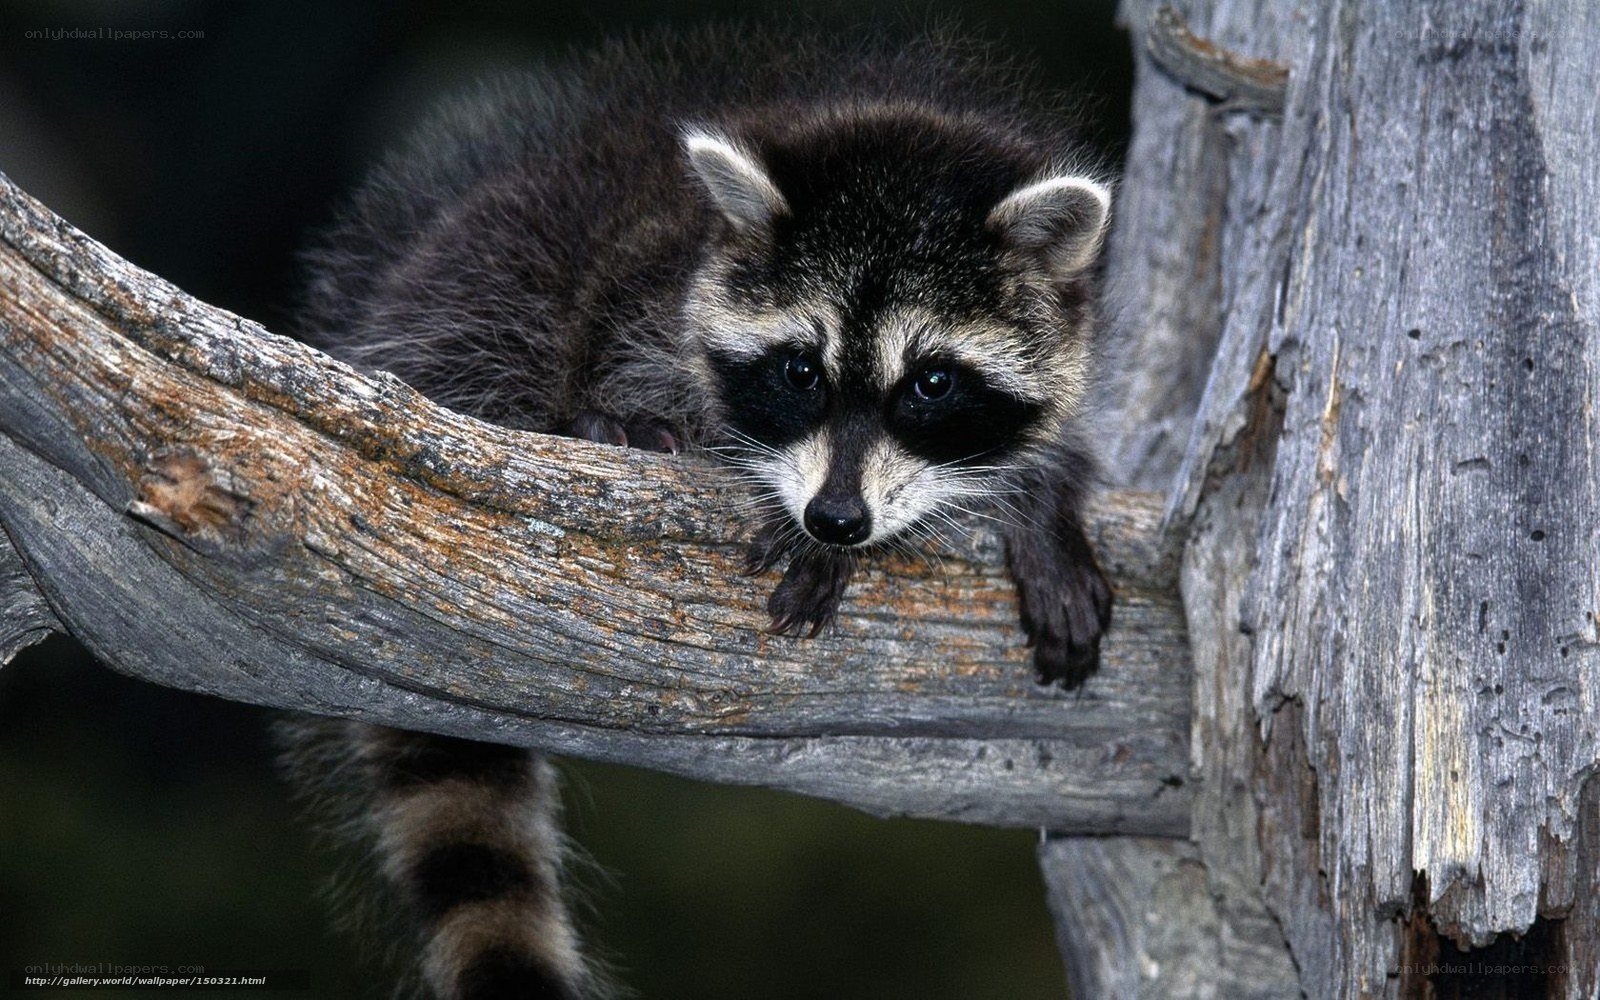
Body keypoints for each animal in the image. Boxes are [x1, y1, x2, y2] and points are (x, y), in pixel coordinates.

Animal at [289, 28, 1113, 1000]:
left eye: (933, 382)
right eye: (800, 370)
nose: (836, 520)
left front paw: (1043, 498)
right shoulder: (644, 286)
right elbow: (634, 364)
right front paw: (763, 493)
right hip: (483, 288)